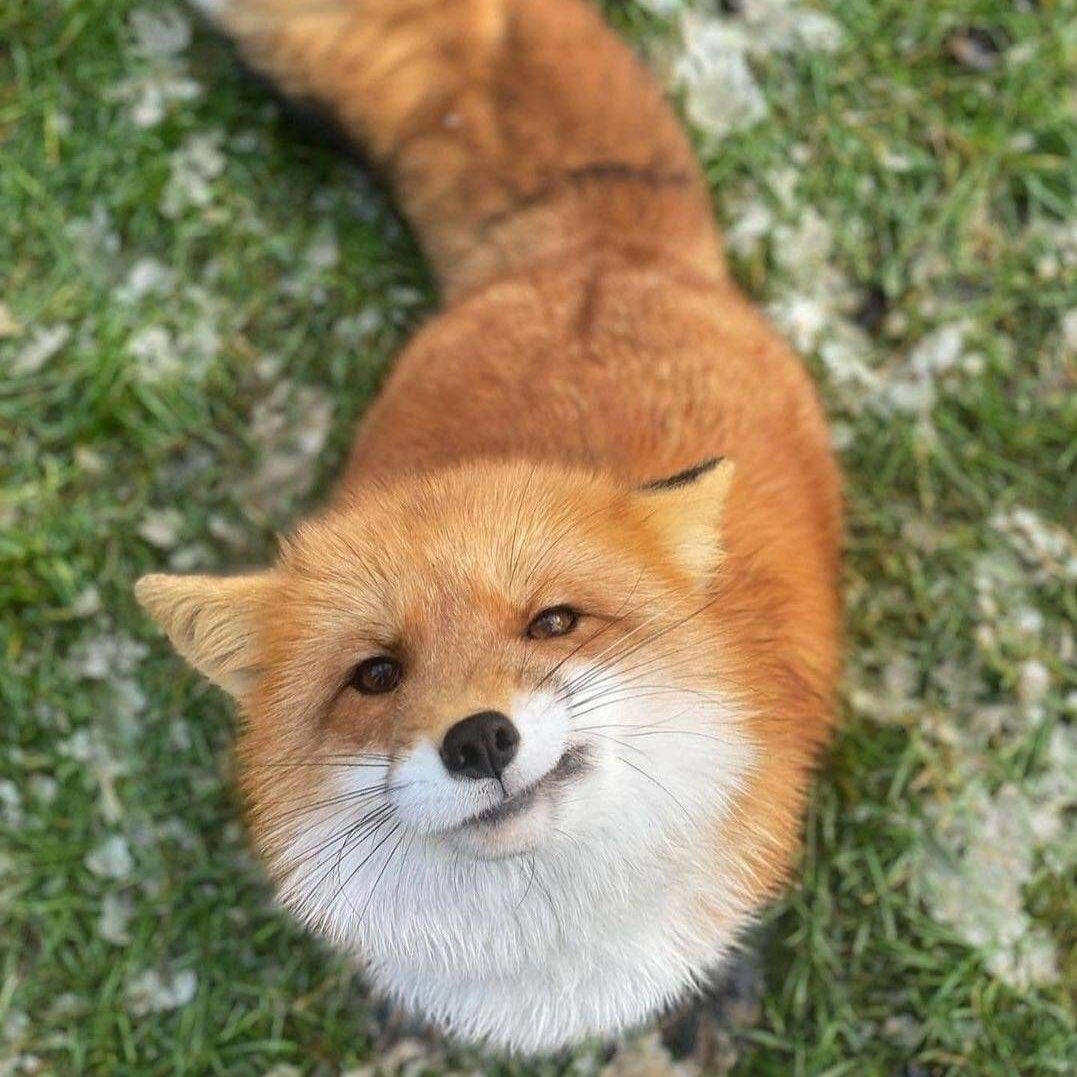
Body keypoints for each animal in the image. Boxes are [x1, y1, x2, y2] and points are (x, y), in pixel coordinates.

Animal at [135, 0, 842, 1055]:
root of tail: (595, 258)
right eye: (374, 675)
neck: (550, 974)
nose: (478, 741)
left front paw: (713, 996)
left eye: (554, 622)